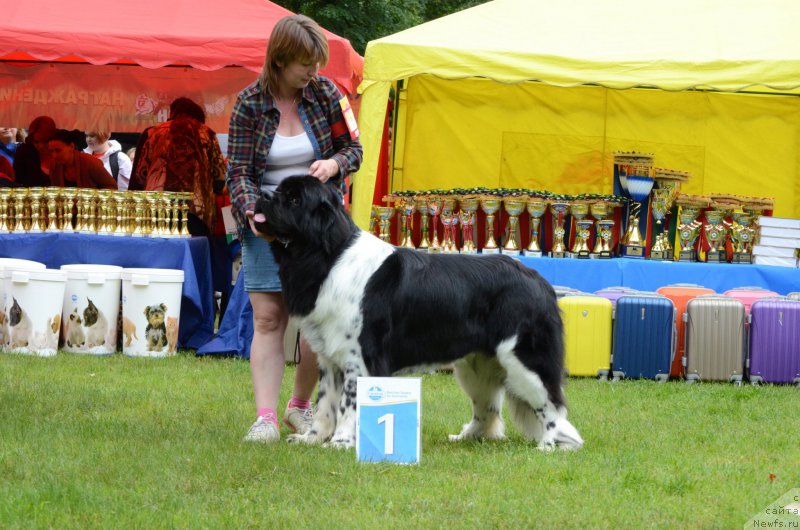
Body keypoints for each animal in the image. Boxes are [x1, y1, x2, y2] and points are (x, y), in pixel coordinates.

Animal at [255, 175, 580, 448]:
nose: (263, 195)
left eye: (294, 199)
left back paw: (550, 445)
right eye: (280, 190)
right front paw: (311, 439)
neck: (328, 256)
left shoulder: (359, 357)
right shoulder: (330, 358)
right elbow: (325, 403)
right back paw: (466, 437)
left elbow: (349, 403)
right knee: (487, 408)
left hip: (524, 360)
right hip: (477, 366)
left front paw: (342, 442)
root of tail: (539, 281)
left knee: (551, 404)